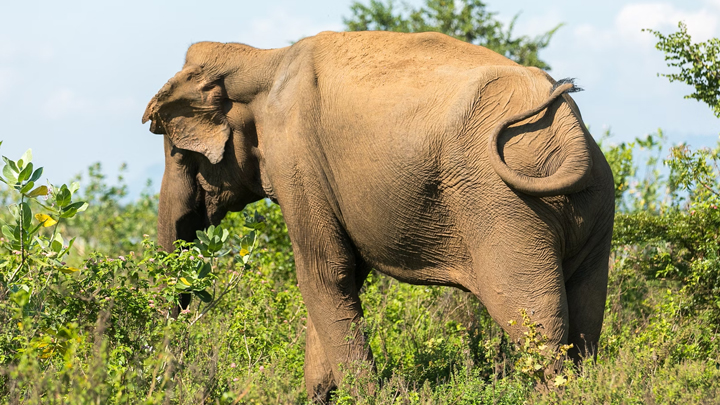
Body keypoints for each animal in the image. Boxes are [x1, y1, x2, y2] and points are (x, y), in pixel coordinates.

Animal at [141, 30, 612, 400]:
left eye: (176, 151)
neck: (261, 57)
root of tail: (569, 130)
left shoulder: (296, 156)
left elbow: (324, 272)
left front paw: (364, 395)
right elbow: (344, 276)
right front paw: (321, 395)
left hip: (503, 204)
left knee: (533, 315)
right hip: (592, 201)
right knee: (586, 314)